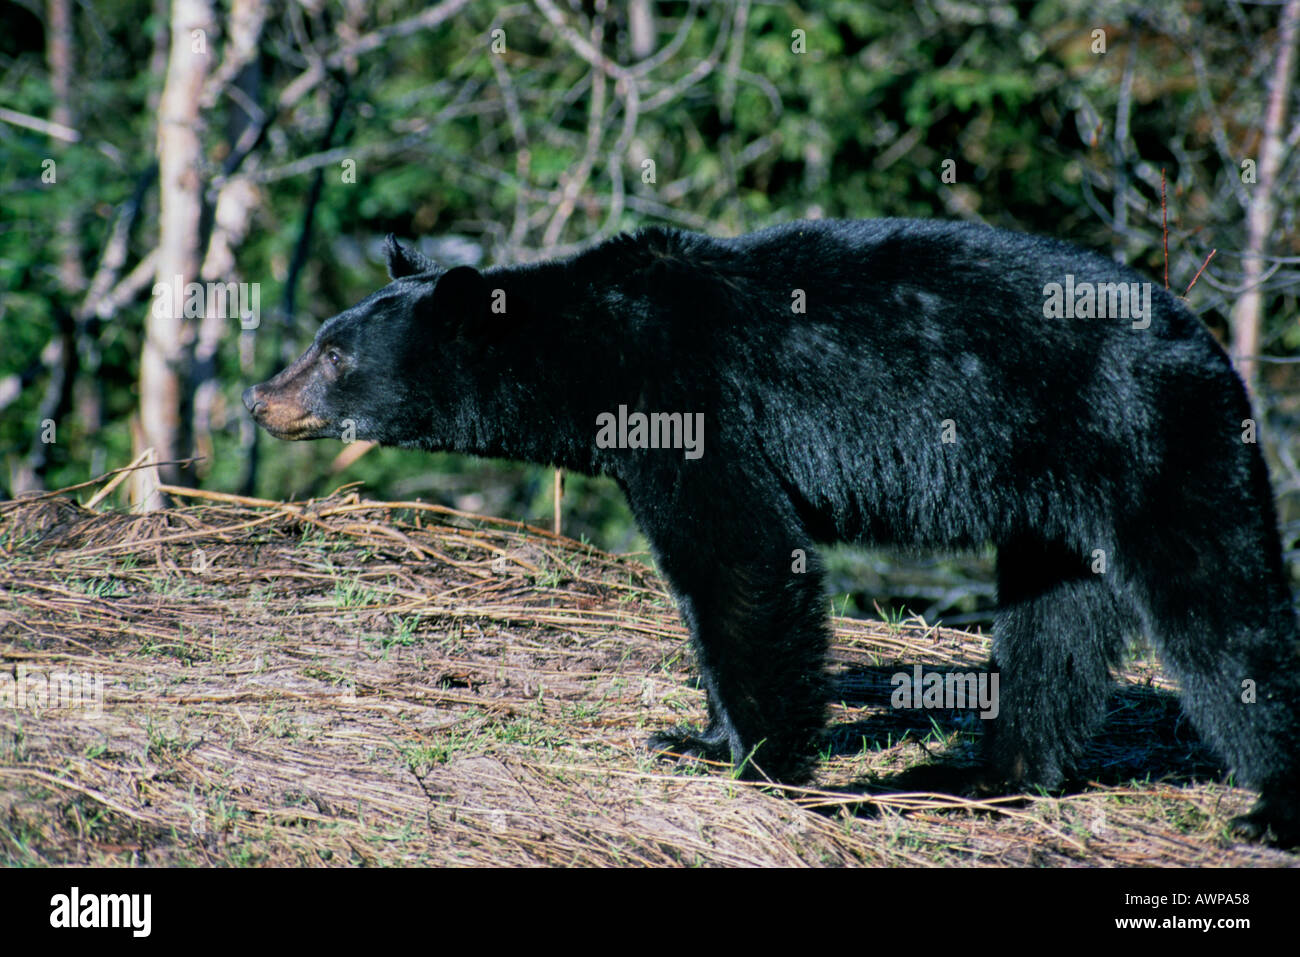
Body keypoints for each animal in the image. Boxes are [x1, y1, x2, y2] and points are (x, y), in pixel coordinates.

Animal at [245, 218, 1300, 842]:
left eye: (333, 354)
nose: (262, 397)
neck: (589, 350)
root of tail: (1207, 340)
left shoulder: (691, 402)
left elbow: (741, 560)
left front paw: (762, 760)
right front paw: (698, 735)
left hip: (1155, 443)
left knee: (1220, 609)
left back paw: (1270, 806)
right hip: (1058, 495)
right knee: (1054, 625)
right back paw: (978, 775)